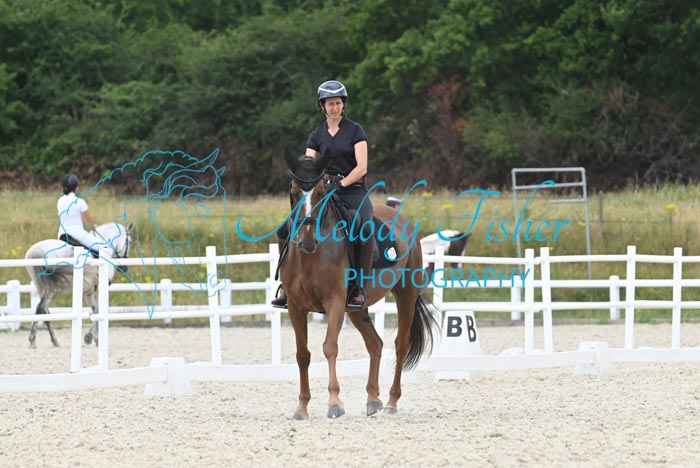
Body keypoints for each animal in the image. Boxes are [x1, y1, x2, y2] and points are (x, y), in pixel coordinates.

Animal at [280, 148, 439, 419]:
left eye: (321, 192)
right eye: (293, 191)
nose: (307, 241)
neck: (312, 256)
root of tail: (400, 217)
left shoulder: (334, 302)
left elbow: (330, 347)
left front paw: (334, 403)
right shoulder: (295, 306)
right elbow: (303, 355)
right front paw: (301, 407)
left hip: (405, 295)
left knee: (400, 345)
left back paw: (391, 402)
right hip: (355, 308)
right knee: (375, 344)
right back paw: (373, 400)